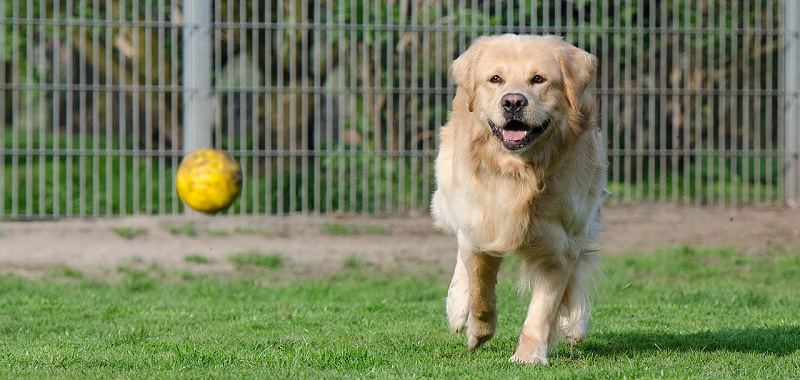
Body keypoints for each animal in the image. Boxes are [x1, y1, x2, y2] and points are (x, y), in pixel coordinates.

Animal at [432, 34, 608, 364]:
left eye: (538, 79)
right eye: (495, 79)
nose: (513, 101)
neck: (519, 174)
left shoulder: (562, 244)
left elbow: (543, 308)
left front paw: (529, 355)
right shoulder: (479, 228)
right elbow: (481, 293)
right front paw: (477, 332)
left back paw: (575, 323)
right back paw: (457, 307)